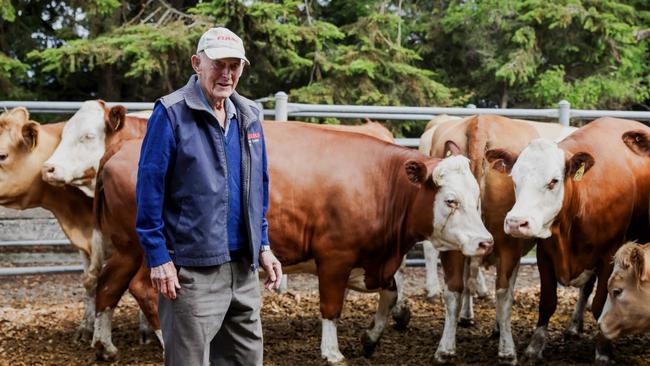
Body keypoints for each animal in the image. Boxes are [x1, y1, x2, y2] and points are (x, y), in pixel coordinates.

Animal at [88, 121, 488, 364]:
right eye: (450, 200)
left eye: (477, 197)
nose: (485, 242)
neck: (380, 180)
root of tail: (122, 149)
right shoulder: (335, 257)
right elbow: (331, 307)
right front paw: (332, 352)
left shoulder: (374, 259)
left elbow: (390, 295)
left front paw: (372, 337)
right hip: (146, 251)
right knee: (142, 288)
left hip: (126, 247)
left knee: (108, 286)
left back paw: (104, 345)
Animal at [486, 118, 648, 364]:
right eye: (515, 180)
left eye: (553, 181)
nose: (516, 223)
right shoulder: (545, 254)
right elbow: (547, 302)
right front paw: (535, 347)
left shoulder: (609, 256)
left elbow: (600, 304)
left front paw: (603, 349)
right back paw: (574, 326)